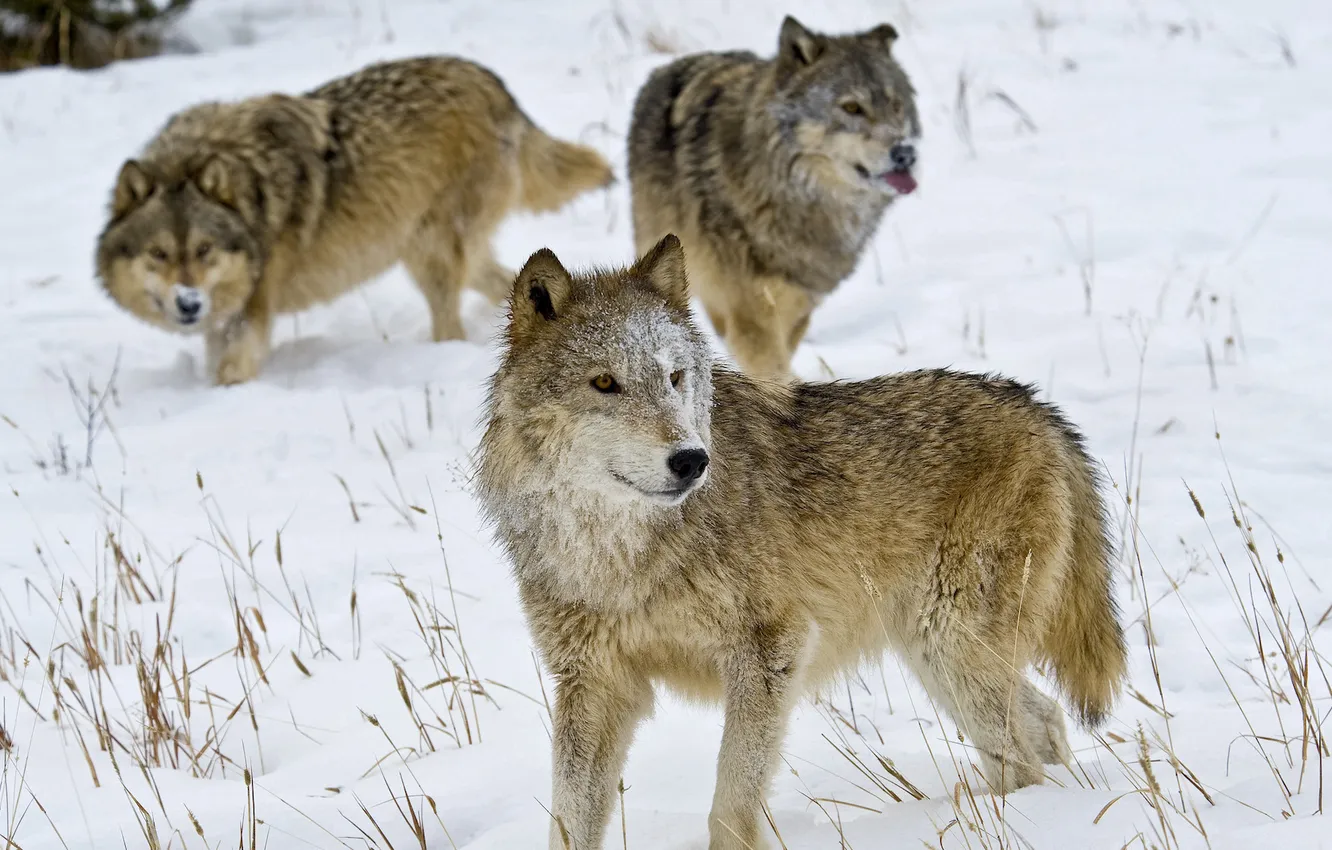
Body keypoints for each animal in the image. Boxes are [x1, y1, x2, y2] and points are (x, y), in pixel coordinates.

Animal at [96, 56, 613, 385]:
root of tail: (494, 84)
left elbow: (230, 373)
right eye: (159, 253)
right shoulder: (222, 321)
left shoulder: (252, 316)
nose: (189, 304)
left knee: (451, 319)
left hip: (431, 256)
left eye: (204, 250)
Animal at [476, 235, 1128, 850]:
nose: (691, 460)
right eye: (605, 383)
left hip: (949, 646)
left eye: (674, 378)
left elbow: (731, 805)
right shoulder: (594, 684)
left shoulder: (772, 651)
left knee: (1022, 755)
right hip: (940, 656)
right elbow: (569, 824)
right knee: (1044, 723)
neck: (620, 555)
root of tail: (1036, 406)